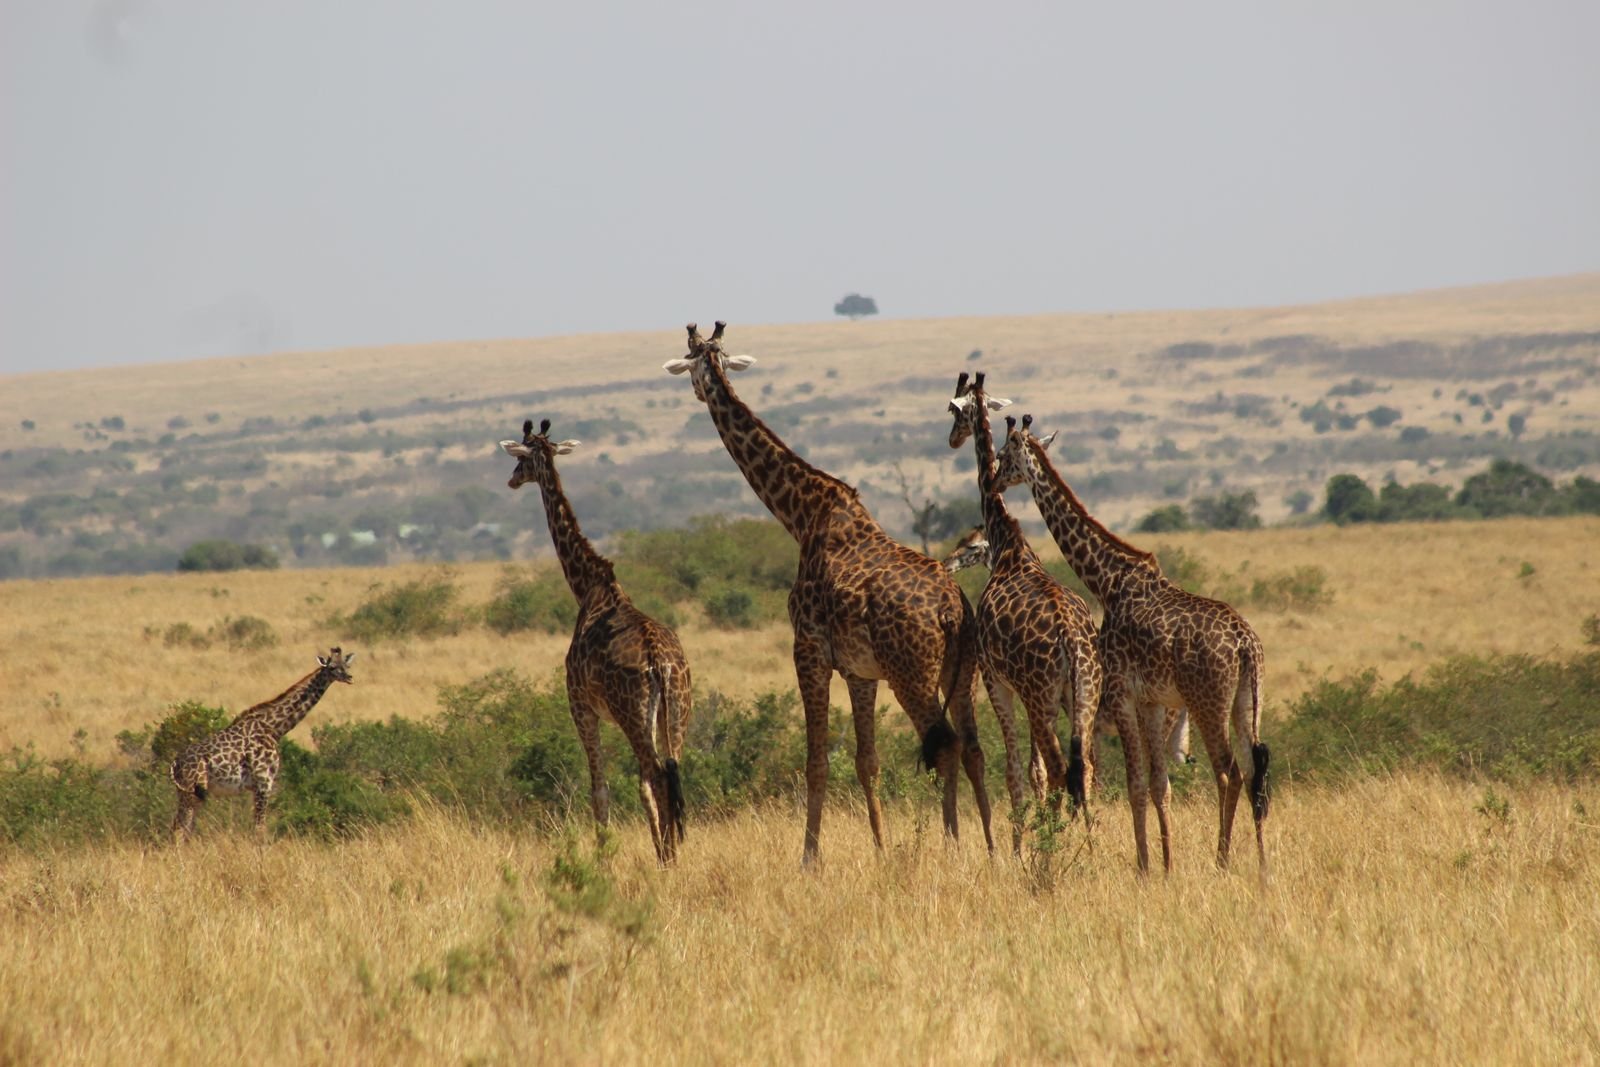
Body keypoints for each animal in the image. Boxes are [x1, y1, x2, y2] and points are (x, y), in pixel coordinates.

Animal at [170, 647, 354, 840]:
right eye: (332, 667)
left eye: (346, 665)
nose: (349, 677)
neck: (274, 728)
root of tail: (175, 763)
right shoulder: (264, 782)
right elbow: (260, 829)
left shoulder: (257, 787)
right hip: (190, 792)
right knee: (179, 829)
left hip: (191, 793)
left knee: (183, 828)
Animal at [500, 418, 692, 866]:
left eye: (520, 459)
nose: (511, 480)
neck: (588, 586)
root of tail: (661, 662)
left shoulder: (581, 705)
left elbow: (599, 790)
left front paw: (603, 859)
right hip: (676, 710)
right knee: (673, 771)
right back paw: (673, 852)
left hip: (632, 713)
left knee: (656, 775)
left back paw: (667, 858)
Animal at [665, 322, 993, 864]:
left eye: (690, 359)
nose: (693, 391)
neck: (802, 516)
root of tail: (951, 608)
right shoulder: (860, 671)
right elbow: (866, 760)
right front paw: (880, 850)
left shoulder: (809, 650)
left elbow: (816, 760)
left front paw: (809, 859)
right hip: (959, 671)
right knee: (972, 745)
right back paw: (990, 844)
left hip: (912, 673)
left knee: (943, 743)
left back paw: (951, 844)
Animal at [945, 372, 1101, 854]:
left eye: (954, 410)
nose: (952, 439)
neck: (1008, 545)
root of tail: (1071, 638)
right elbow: (1039, 771)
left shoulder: (995, 681)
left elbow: (1017, 771)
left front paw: (1017, 848)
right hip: (1083, 696)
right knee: (1084, 768)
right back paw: (1093, 846)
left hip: (1039, 695)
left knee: (1058, 768)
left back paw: (1051, 853)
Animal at [995, 414, 1270, 877]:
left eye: (1003, 455)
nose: (995, 481)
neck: (1107, 580)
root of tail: (1245, 643)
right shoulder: (1152, 700)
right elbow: (1158, 783)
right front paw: (1165, 863)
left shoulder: (1123, 691)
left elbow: (1134, 783)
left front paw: (1144, 866)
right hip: (1247, 700)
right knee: (1255, 770)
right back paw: (1264, 862)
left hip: (1207, 701)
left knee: (1228, 772)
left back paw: (1222, 858)